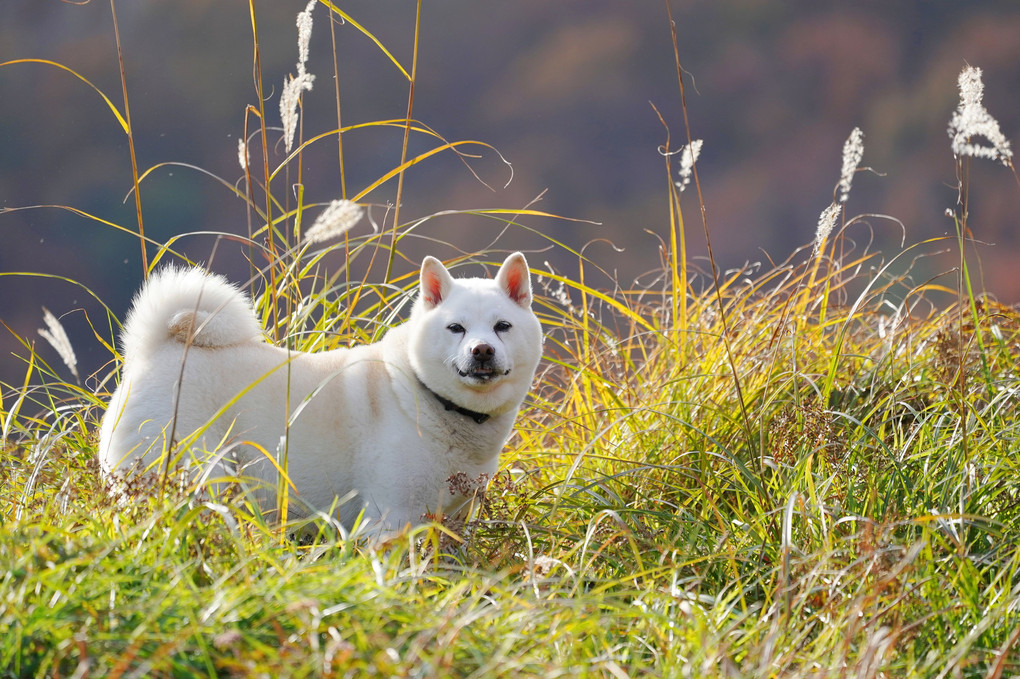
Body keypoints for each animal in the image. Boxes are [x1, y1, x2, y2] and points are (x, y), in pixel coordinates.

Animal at [97, 250, 542, 530]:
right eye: (456, 328)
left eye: (502, 326)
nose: (481, 350)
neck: (430, 399)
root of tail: (156, 349)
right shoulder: (392, 516)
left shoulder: (454, 516)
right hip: (198, 476)